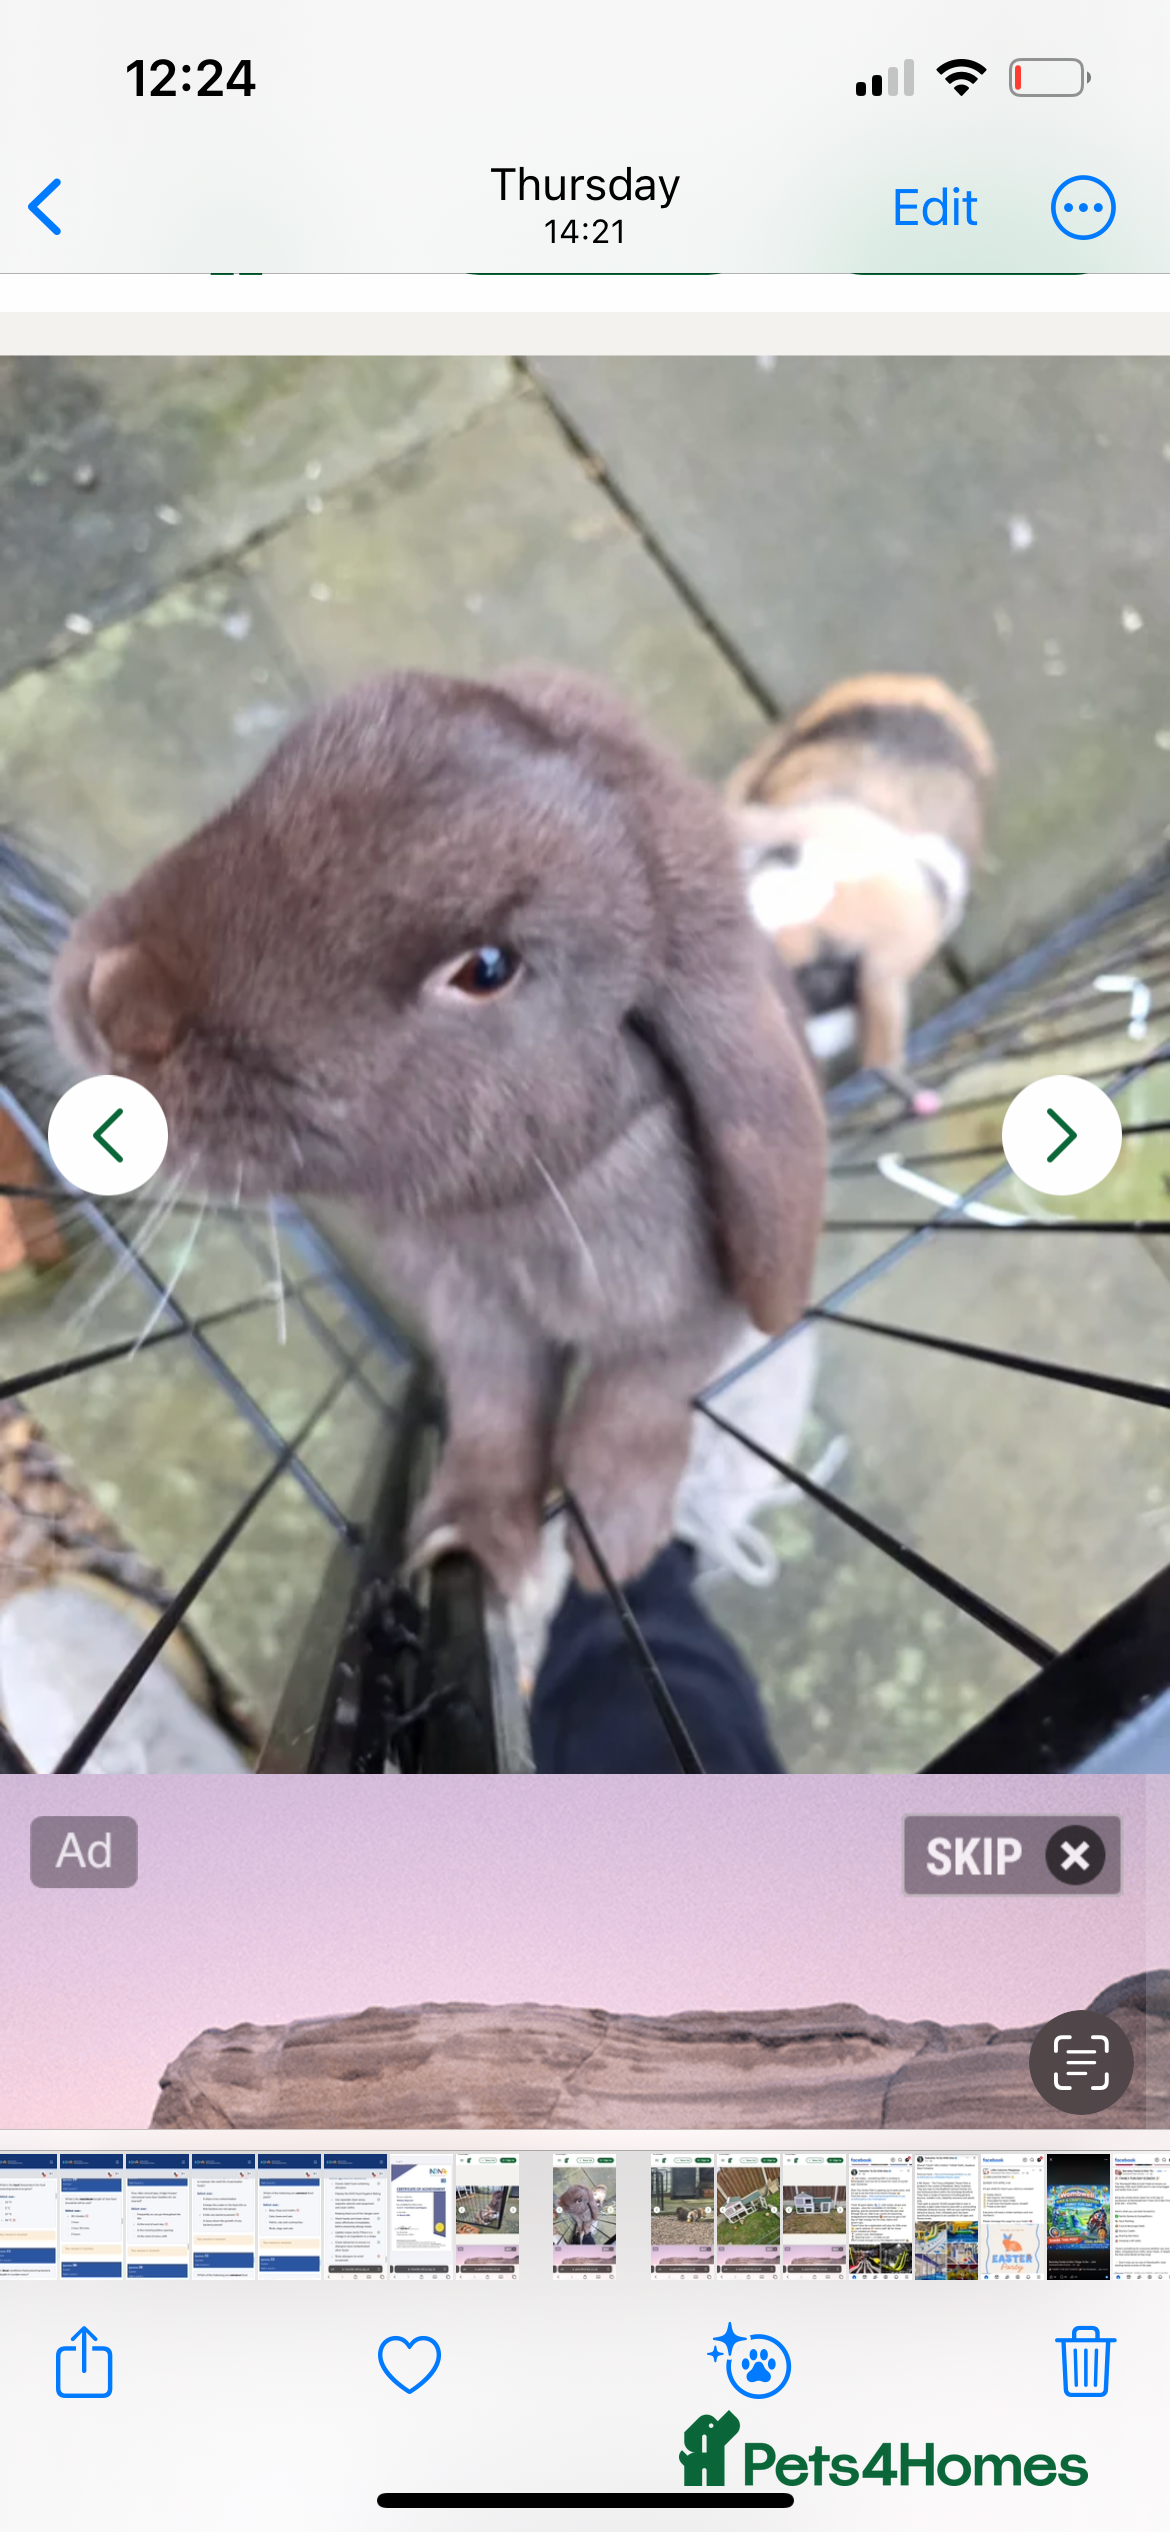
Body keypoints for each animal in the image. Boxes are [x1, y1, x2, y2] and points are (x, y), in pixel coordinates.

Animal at [51, 664, 826, 1600]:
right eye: (287, 763)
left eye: (487, 969)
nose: (112, 1001)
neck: (514, 1209)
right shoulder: (477, 1323)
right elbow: (496, 1419)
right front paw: (467, 1544)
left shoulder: (682, 1319)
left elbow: (632, 1408)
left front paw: (613, 1544)